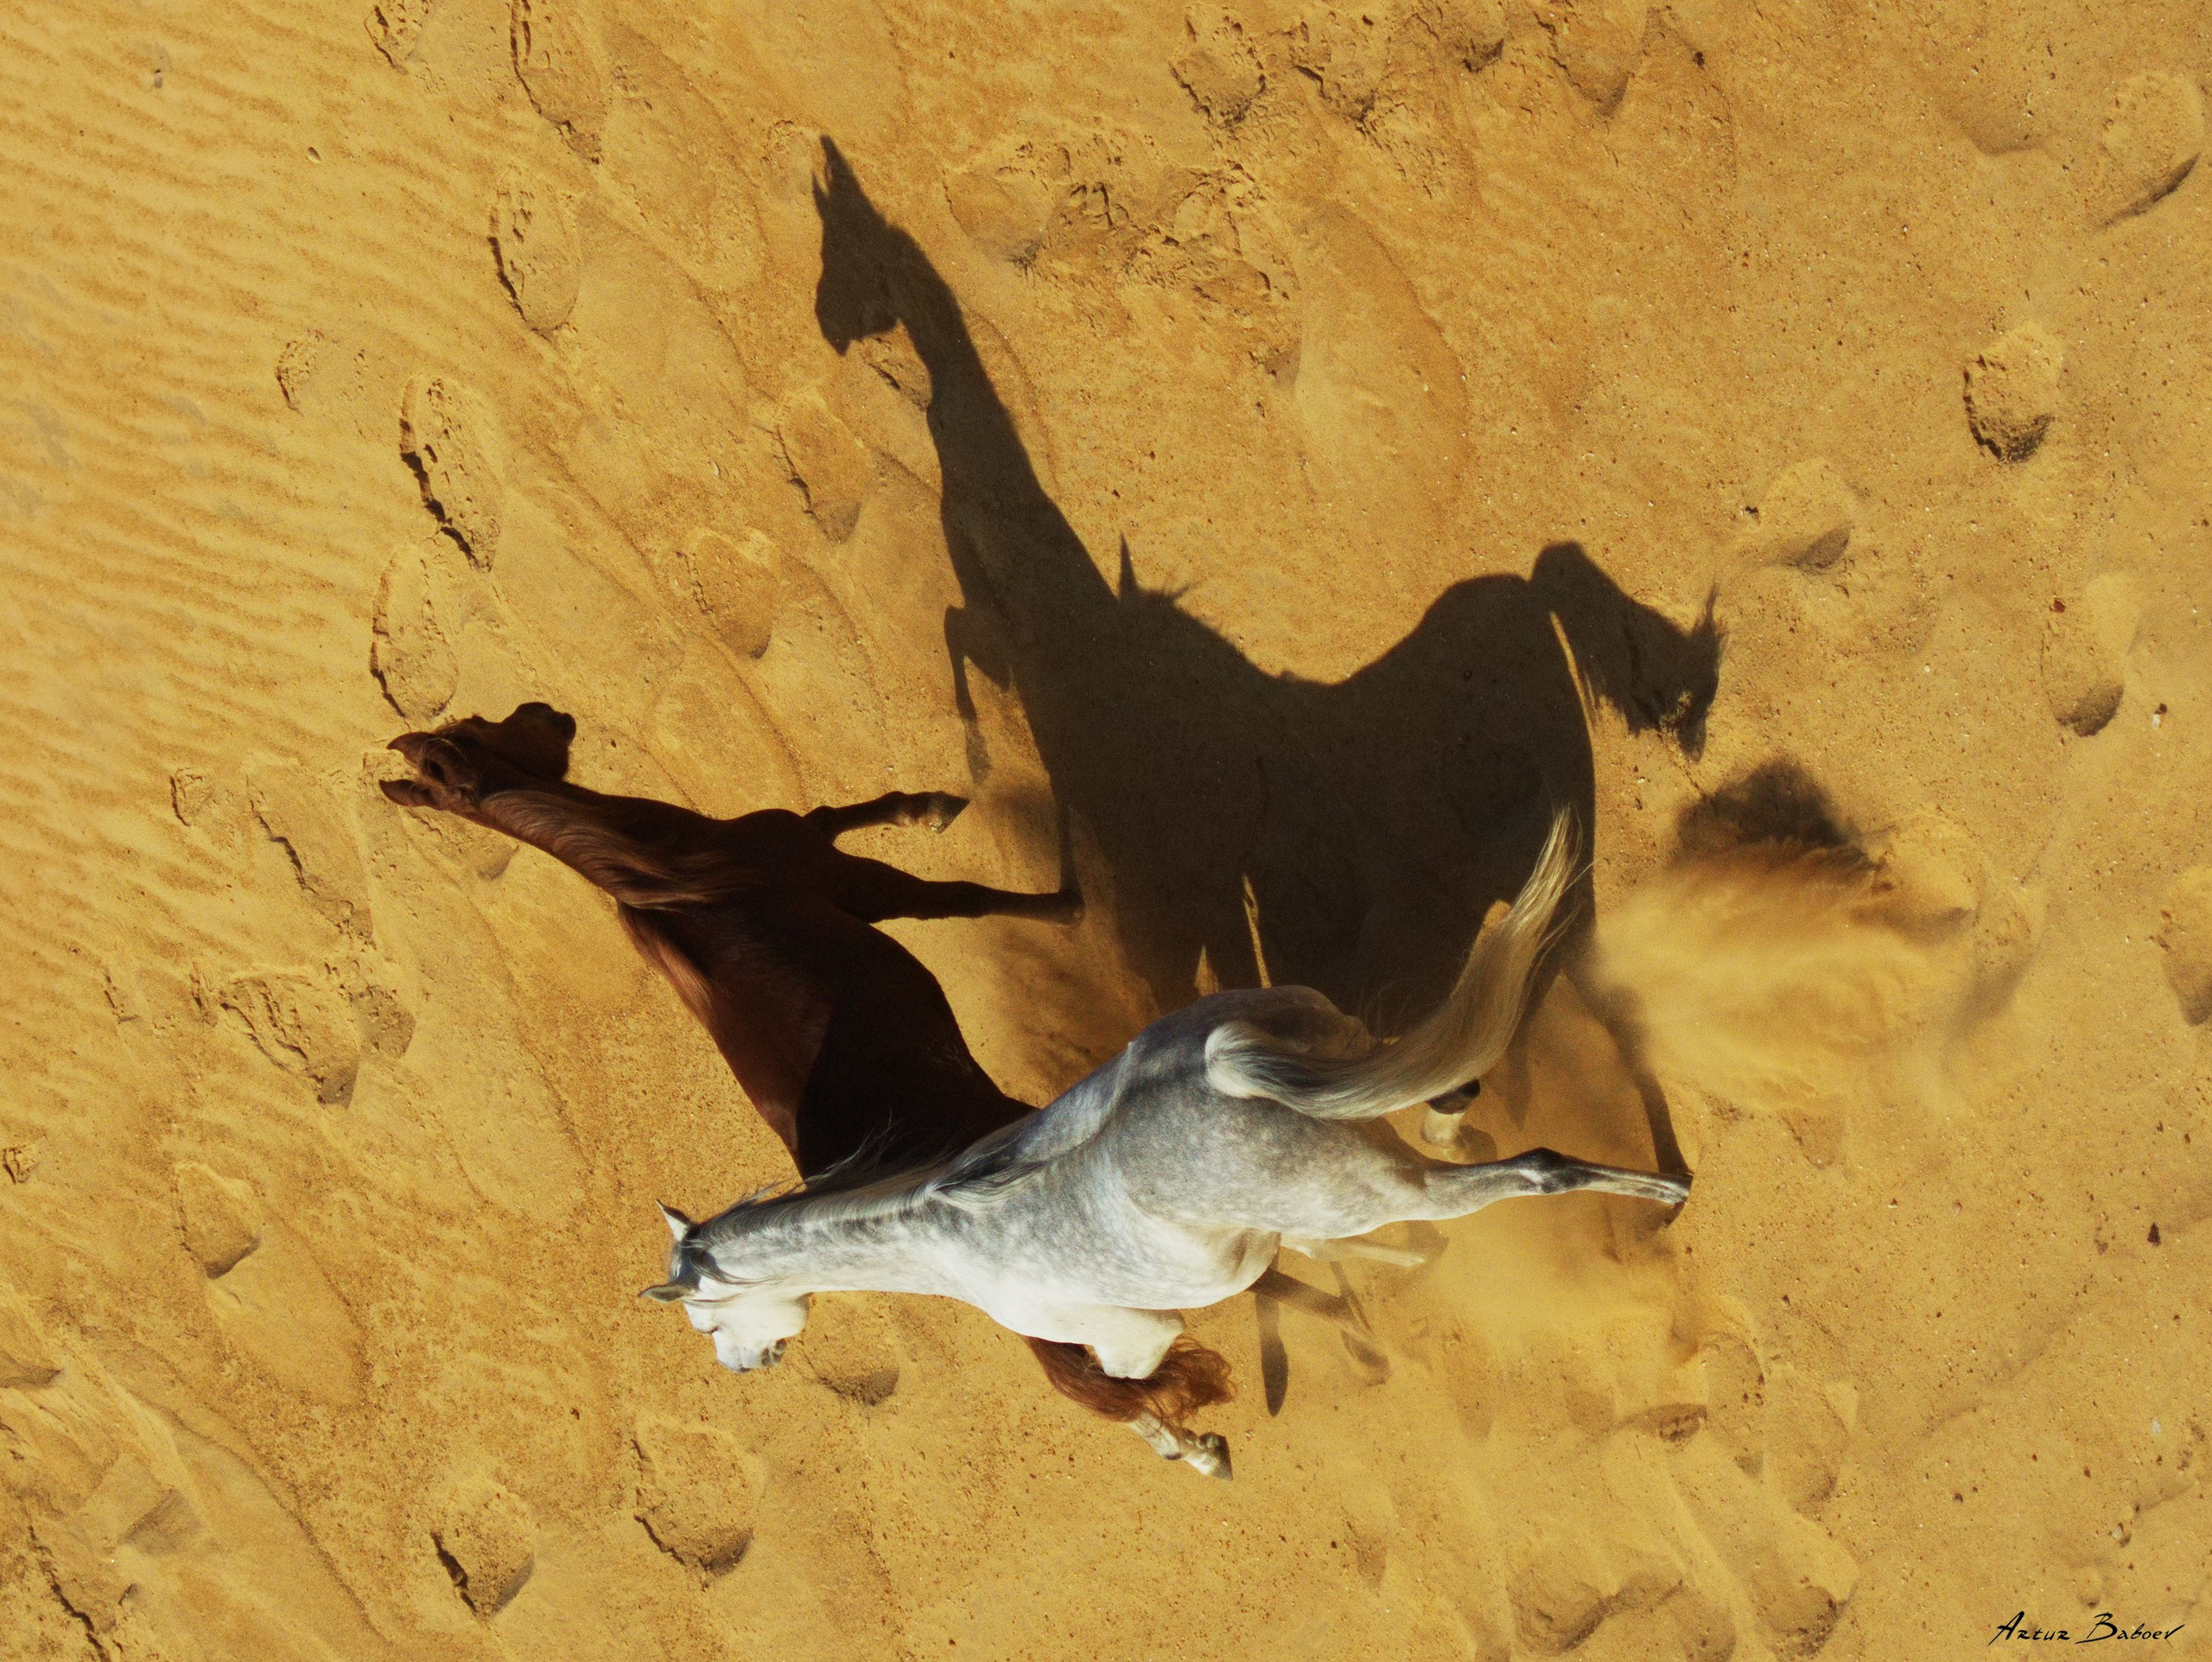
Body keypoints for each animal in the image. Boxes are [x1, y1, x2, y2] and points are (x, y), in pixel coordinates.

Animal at [381, 701, 1403, 1471]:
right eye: (484, 726)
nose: (549, 711)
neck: (660, 881)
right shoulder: (845, 877)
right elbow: (951, 890)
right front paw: (1009, 860)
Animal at [644, 810, 1692, 1475]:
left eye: (703, 1322)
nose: (746, 1369)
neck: (938, 1239)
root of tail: (1219, 1065)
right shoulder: (1271, 1237)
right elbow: (1321, 1264)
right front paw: (1385, 1292)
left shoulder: (1132, 1340)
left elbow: (1137, 1409)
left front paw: (1204, 1452)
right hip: (1356, 1061)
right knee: (1452, 1078)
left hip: (1397, 1177)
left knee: (1536, 1172)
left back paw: (1667, 1194)